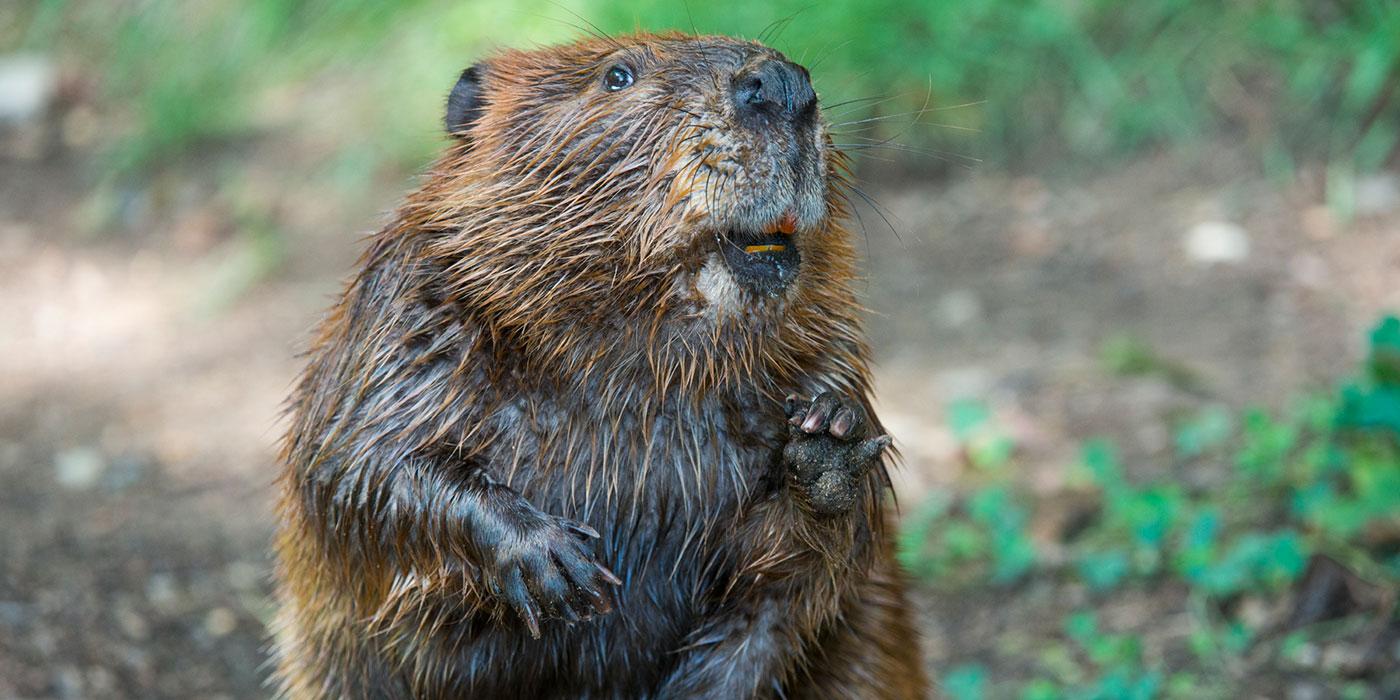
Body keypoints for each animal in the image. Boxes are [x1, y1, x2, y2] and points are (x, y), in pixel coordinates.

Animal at [273, 30, 929, 697]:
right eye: (617, 75)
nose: (782, 83)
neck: (646, 374)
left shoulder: (830, 355)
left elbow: (791, 584)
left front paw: (830, 440)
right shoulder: (402, 324)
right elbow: (356, 464)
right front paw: (556, 562)